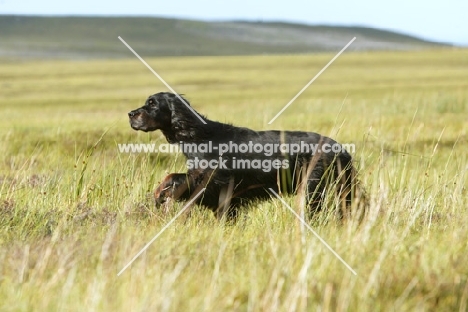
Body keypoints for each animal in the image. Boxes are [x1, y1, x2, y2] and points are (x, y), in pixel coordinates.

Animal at [130, 92, 356, 219]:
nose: (131, 114)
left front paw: (159, 194)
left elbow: (174, 178)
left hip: (312, 187)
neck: (199, 135)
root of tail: (341, 149)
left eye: (153, 104)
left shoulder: (213, 182)